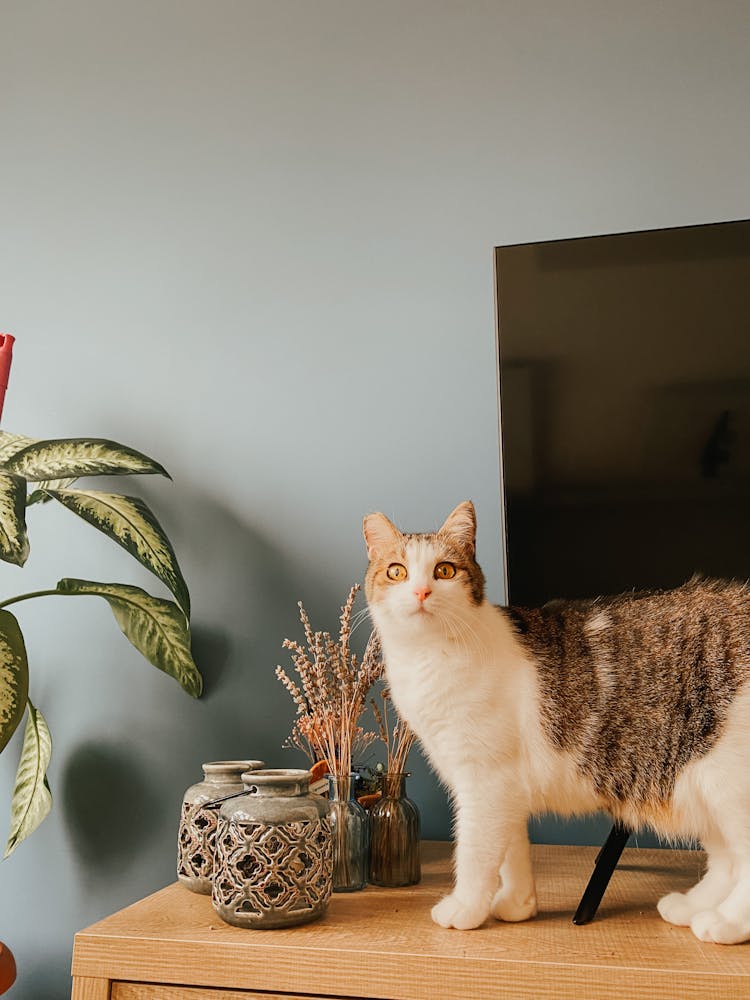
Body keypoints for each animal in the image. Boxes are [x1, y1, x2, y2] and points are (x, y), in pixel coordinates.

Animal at [362, 500, 750, 944]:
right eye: (396, 571)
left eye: (444, 570)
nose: (421, 592)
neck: (428, 657)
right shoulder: (503, 786)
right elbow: (511, 850)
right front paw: (518, 906)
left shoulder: (483, 782)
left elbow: (476, 853)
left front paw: (466, 908)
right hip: (691, 780)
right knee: (727, 859)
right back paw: (693, 906)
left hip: (726, 780)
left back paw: (726, 922)